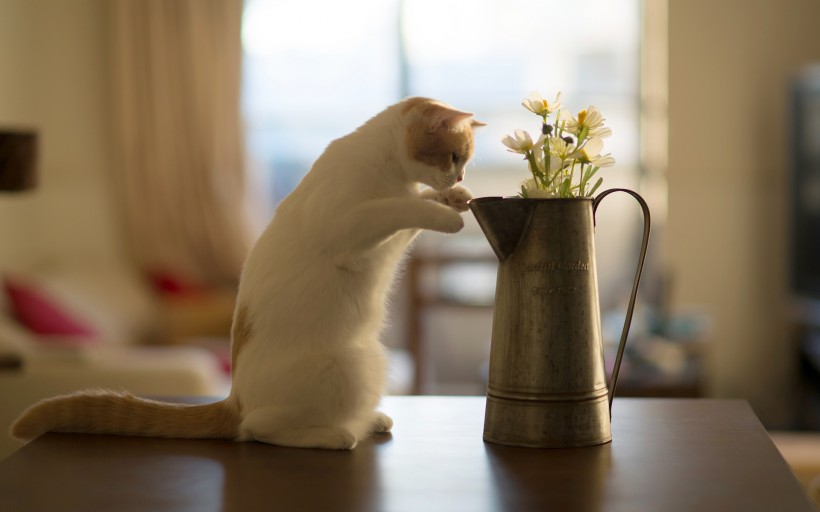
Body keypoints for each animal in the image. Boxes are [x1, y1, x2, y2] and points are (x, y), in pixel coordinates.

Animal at [9, 98, 484, 450]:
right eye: (454, 156)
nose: (460, 174)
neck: (387, 166)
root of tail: (232, 399)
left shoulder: (389, 239)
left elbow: (412, 211)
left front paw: (455, 198)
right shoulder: (350, 226)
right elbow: (400, 207)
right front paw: (447, 212)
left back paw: (371, 420)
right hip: (350, 366)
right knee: (257, 429)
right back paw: (338, 435)